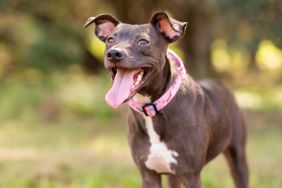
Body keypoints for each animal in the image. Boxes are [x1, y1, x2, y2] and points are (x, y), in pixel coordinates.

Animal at [84, 11, 249, 188]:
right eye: (110, 40)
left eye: (143, 41)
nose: (114, 53)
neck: (151, 108)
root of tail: (218, 84)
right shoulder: (149, 175)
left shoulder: (190, 175)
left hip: (238, 158)